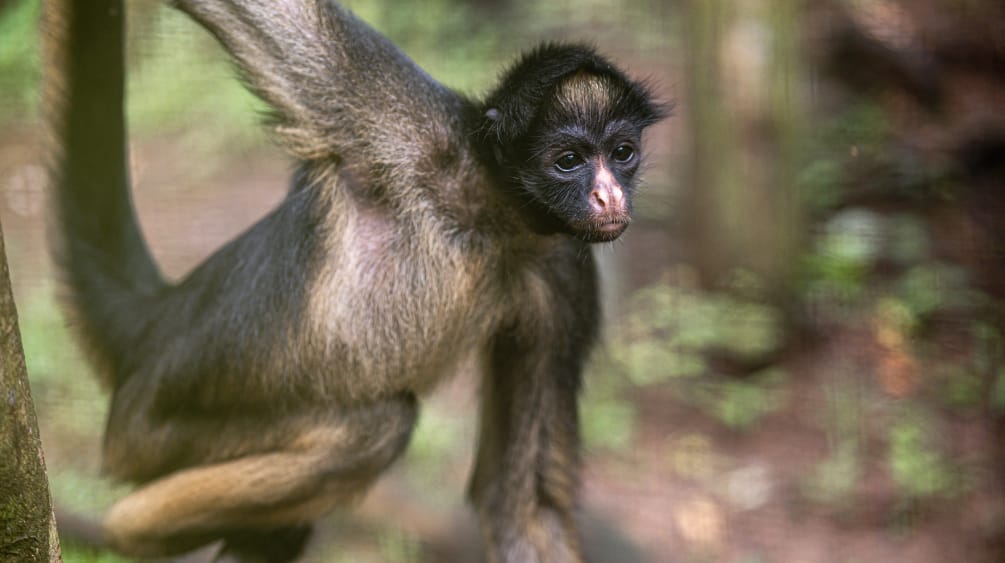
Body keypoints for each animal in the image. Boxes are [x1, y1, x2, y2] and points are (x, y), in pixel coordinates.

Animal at [43, 0, 667, 558]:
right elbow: (267, 14)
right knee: (380, 424)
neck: (489, 212)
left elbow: (524, 507)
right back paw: (125, 530)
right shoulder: (402, 122)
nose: (608, 196)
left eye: (622, 152)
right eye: (569, 160)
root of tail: (159, 320)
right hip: (153, 435)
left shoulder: (562, 268)